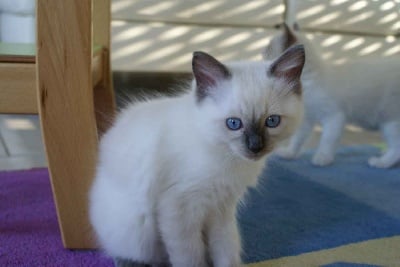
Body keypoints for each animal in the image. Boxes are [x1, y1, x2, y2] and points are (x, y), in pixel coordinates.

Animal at [89, 46, 304, 267]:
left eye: (272, 121)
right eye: (234, 123)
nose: (255, 147)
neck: (225, 157)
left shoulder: (222, 209)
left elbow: (226, 250)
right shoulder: (180, 210)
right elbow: (190, 257)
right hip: (138, 229)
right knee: (130, 253)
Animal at [266, 24, 400, 169]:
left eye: (268, 49)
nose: (262, 53)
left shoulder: (334, 117)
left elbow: (327, 140)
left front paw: (323, 158)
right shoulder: (306, 119)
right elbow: (298, 139)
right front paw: (289, 154)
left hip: (390, 121)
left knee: (396, 147)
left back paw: (382, 162)